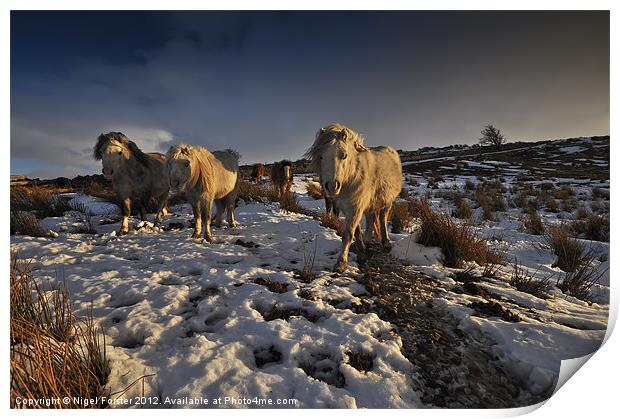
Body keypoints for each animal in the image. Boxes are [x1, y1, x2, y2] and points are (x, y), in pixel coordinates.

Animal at [304, 123, 402, 274]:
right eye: (321, 157)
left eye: (344, 155)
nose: (332, 186)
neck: (352, 176)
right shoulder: (348, 207)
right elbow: (356, 231)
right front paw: (361, 247)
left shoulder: (355, 207)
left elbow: (348, 234)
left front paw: (341, 263)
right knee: (371, 218)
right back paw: (367, 240)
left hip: (387, 202)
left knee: (382, 219)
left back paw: (386, 243)